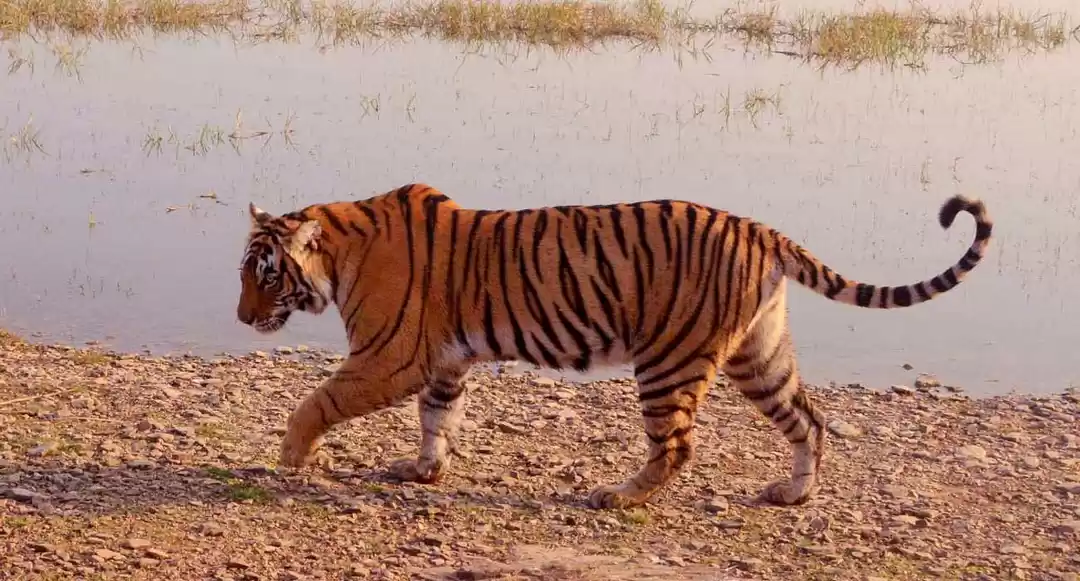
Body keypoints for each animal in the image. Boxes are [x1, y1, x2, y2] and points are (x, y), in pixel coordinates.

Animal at [236, 182, 992, 510]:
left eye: (265, 275)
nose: (242, 319)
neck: (338, 253)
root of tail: (760, 229)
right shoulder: (445, 360)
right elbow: (437, 418)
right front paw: (423, 471)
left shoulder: (391, 357)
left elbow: (316, 402)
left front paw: (290, 458)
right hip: (760, 355)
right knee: (809, 419)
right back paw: (792, 493)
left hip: (668, 361)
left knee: (677, 446)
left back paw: (618, 495)